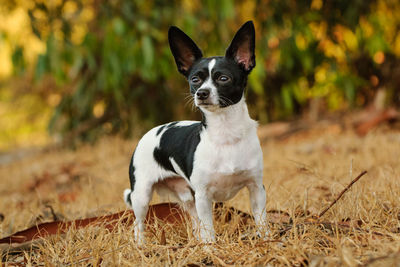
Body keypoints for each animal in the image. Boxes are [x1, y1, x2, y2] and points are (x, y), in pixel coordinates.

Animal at [124, 21, 268, 243]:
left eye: (223, 78)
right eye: (195, 80)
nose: (202, 93)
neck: (225, 133)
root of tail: (148, 134)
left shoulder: (256, 189)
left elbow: (261, 221)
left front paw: (269, 241)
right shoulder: (203, 196)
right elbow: (209, 229)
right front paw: (211, 248)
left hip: (188, 197)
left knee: (194, 221)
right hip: (142, 196)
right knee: (138, 224)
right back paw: (141, 245)